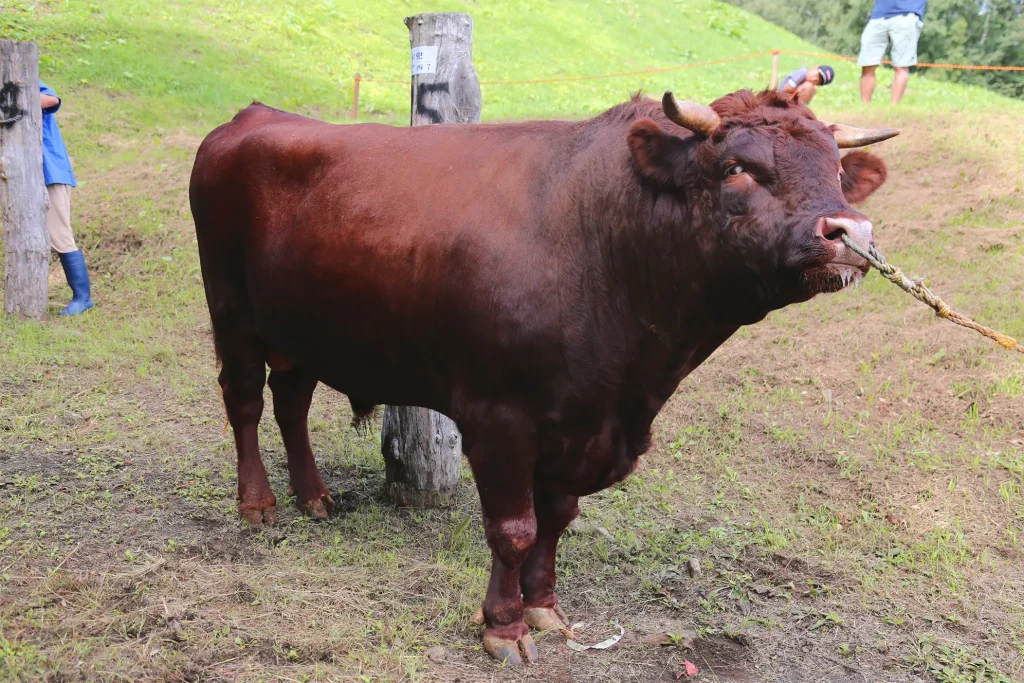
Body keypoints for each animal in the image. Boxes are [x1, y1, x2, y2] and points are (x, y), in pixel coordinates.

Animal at [190, 88, 897, 663]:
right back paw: (257, 502)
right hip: (231, 305)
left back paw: (314, 495)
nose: (850, 232)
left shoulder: (585, 423)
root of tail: (254, 116)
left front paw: (544, 608)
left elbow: (556, 518)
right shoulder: (499, 417)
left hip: (299, 325)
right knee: (245, 401)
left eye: (837, 169)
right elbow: (514, 528)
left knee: (291, 399)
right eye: (736, 168)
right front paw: (502, 627)